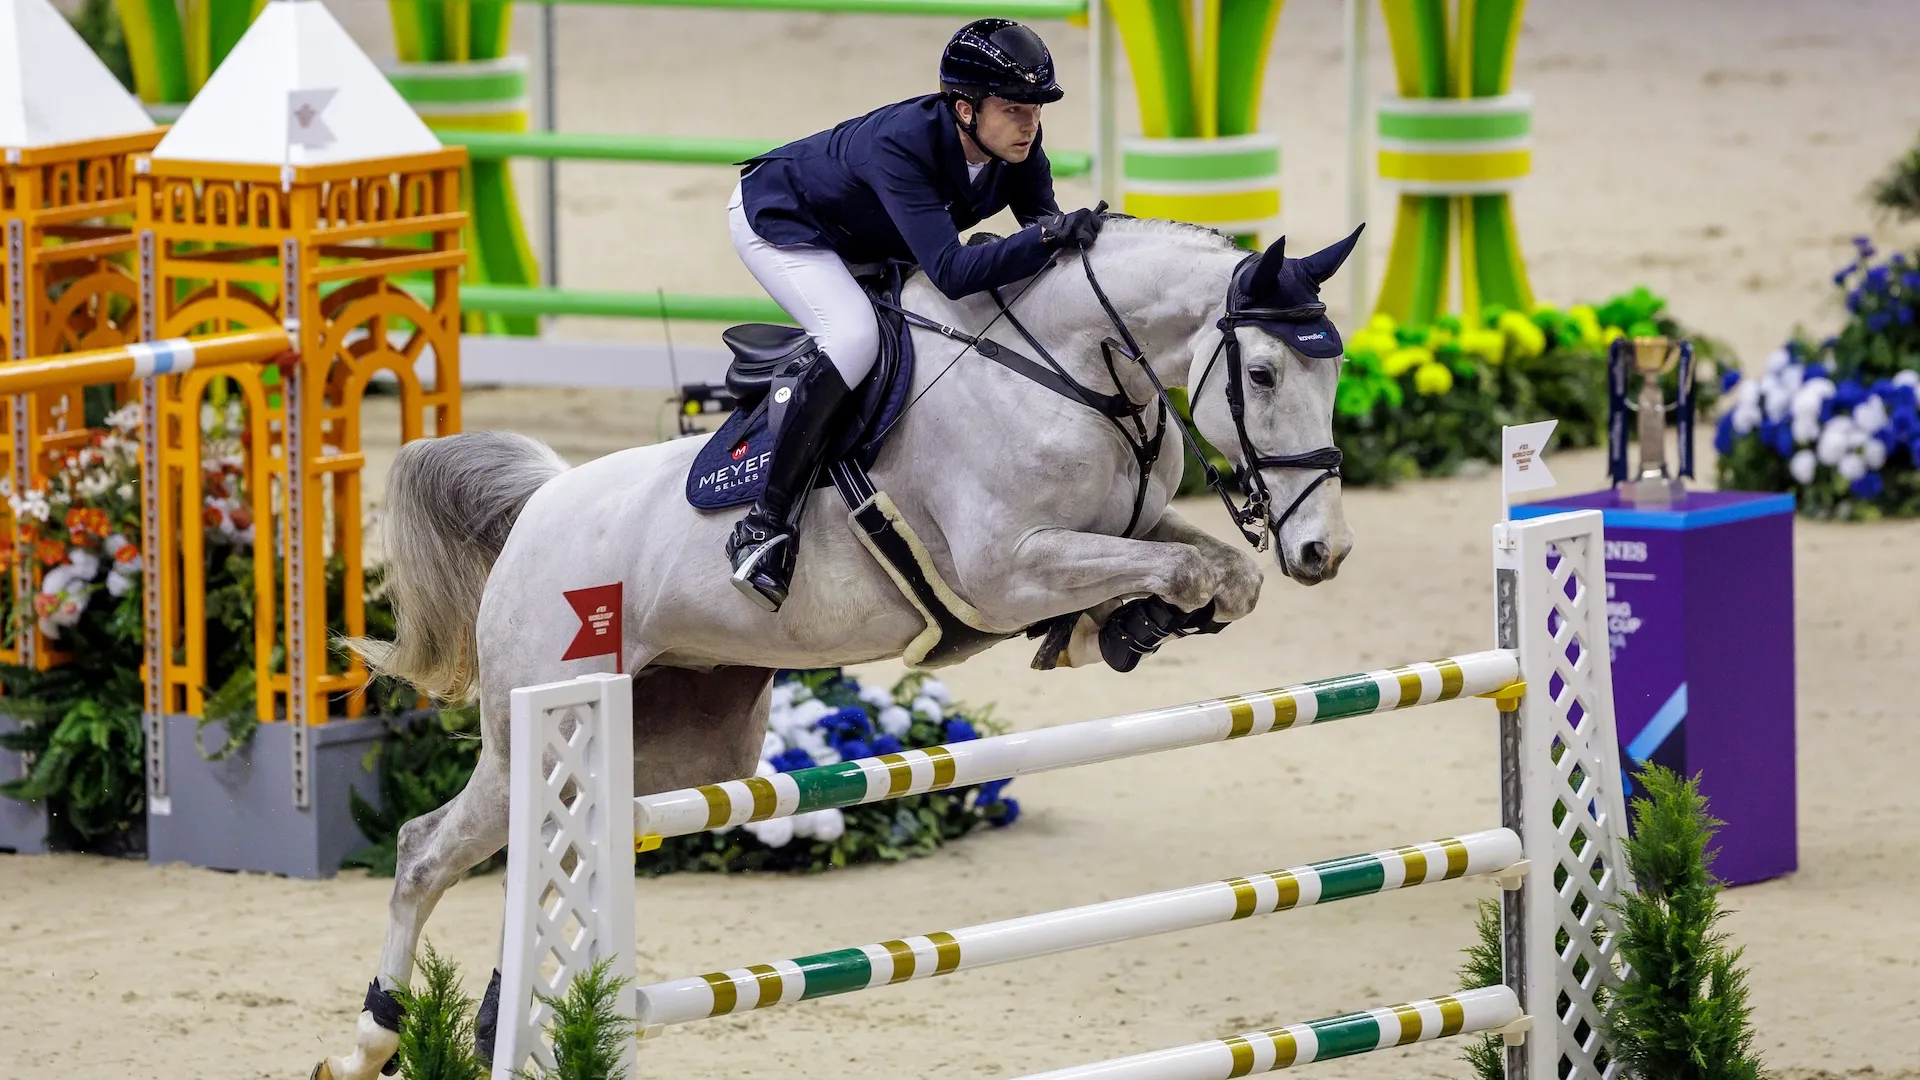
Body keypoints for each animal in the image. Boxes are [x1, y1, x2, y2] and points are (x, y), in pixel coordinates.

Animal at [312, 215, 1361, 1080]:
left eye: (1335, 372)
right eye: (1262, 375)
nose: (1324, 552)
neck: (1077, 377)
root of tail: (540, 505)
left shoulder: (1114, 533)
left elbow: (1214, 571)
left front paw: (1135, 624)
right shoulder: (1004, 571)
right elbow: (1172, 569)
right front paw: (1135, 618)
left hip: (679, 748)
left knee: (559, 857)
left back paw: (499, 1021)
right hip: (538, 719)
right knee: (426, 852)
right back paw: (374, 1038)